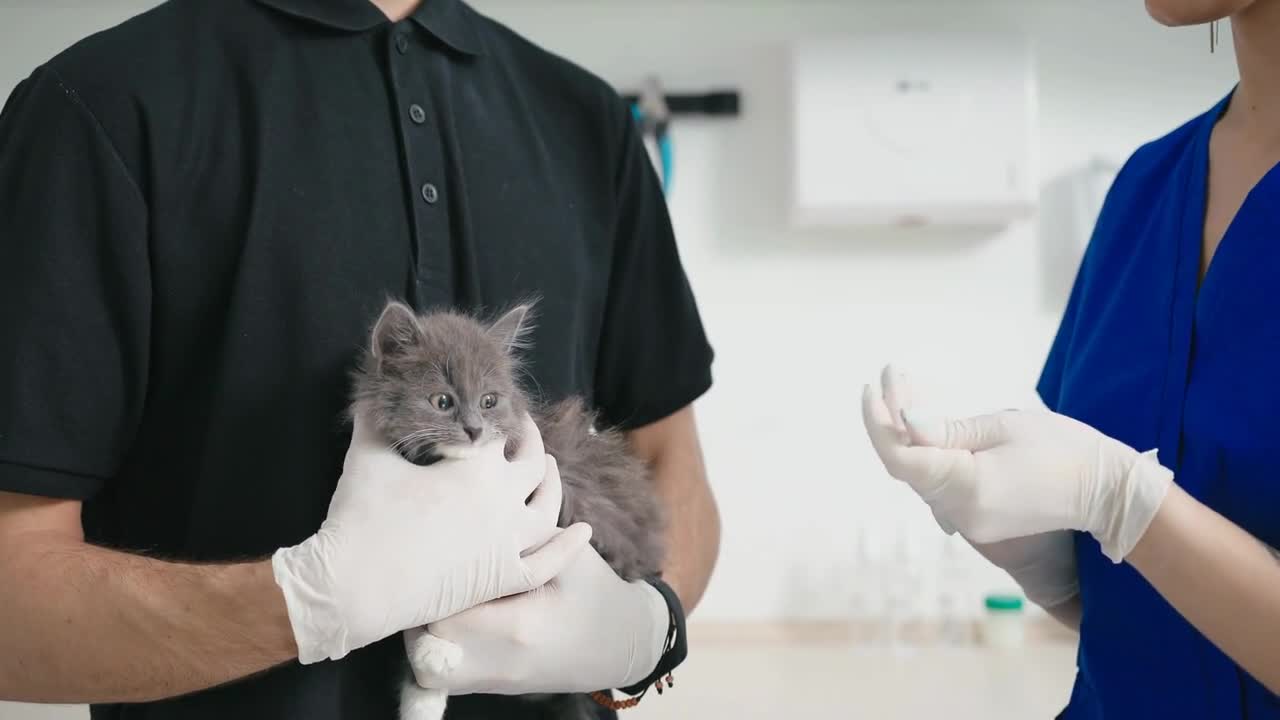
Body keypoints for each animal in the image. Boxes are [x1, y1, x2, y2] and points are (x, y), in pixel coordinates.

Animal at [353, 298, 670, 717]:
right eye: (442, 402)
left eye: (489, 401)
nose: (474, 430)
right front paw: (421, 697)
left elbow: (487, 587)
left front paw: (436, 653)